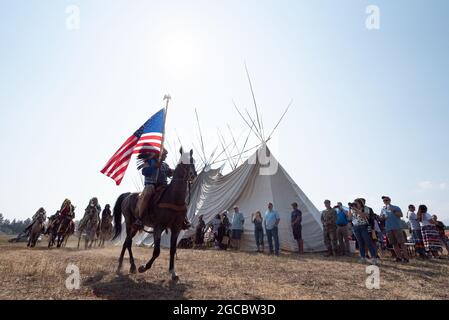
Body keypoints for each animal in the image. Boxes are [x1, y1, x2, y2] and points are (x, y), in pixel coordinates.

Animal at [112, 148, 196, 280]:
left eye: (193, 160)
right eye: (182, 162)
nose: (193, 175)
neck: (173, 198)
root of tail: (128, 195)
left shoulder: (176, 228)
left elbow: (172, 250)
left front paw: (173, 272)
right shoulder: (158, 227)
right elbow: (157, 251)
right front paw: (143, 267)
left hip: (135, 227)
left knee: (126, 242)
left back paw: (124, 266)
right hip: (130, 223)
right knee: (128, 242)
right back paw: (129, 266)